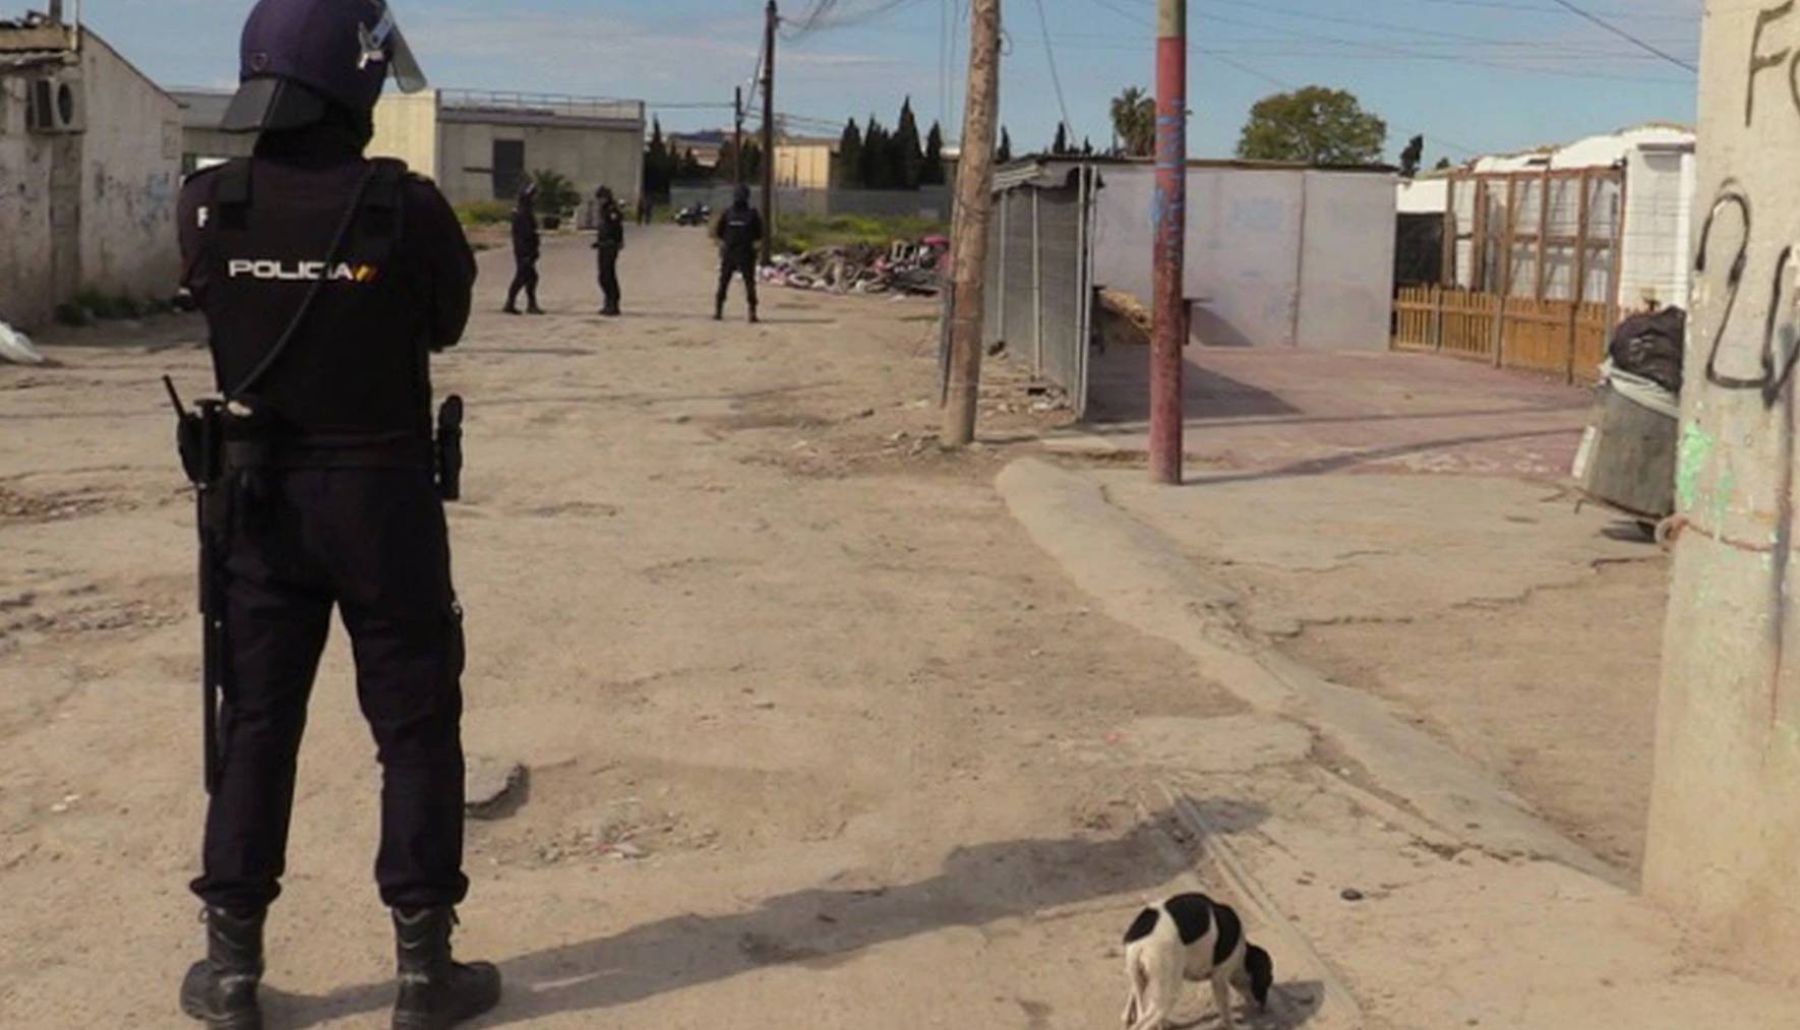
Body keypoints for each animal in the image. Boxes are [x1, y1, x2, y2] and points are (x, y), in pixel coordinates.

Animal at [1116, 893, 1274, 1030]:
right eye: (1268, 979)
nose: (1264, 1008)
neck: (1242, 952)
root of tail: (1142, 942)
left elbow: (1133, 995)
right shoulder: (1219, 979)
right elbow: (1225, 1010)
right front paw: (1232, 1025)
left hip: (1145, 978)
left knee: (1142, 1008)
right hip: (1167, 994)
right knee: (1144, 1023)